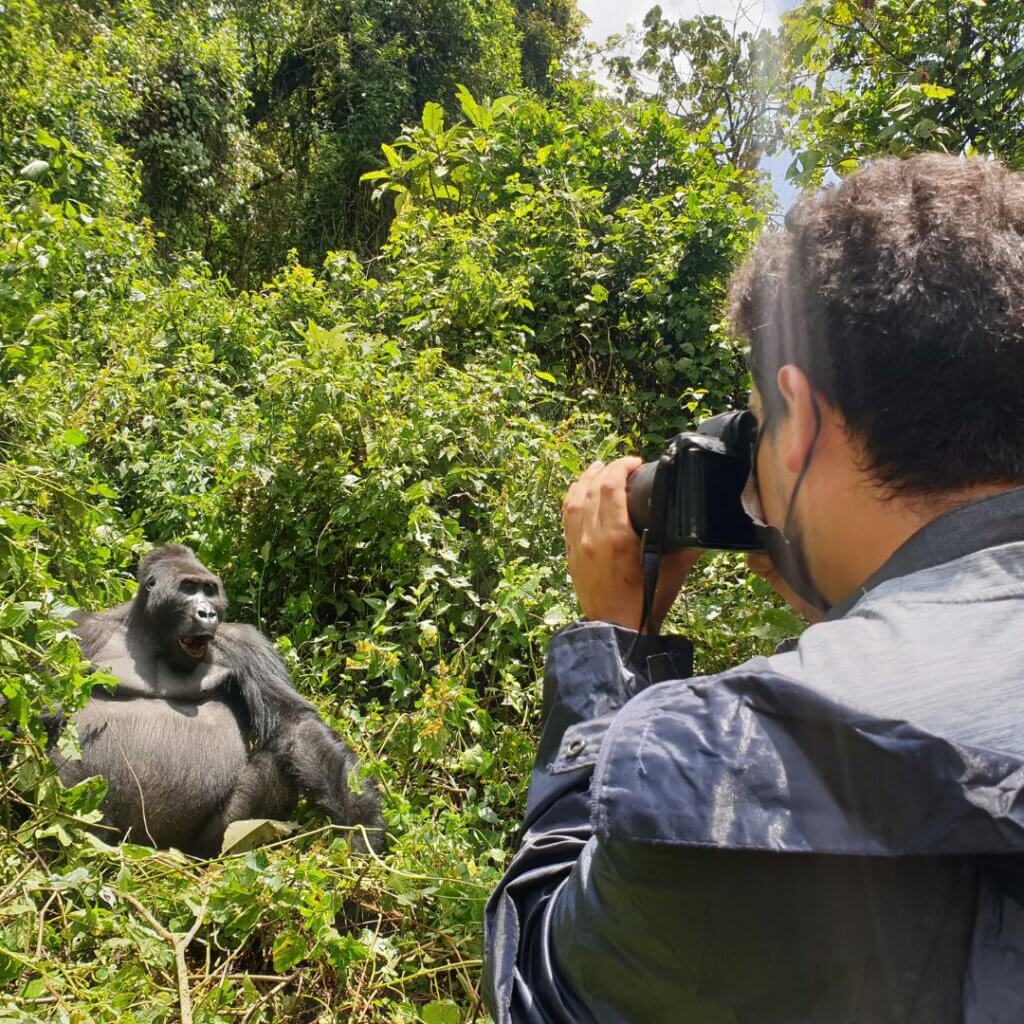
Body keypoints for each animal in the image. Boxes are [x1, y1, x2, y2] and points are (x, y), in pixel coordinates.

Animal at [48, 544, 385, 856]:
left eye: (210, 591)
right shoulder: (80, 630)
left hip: (206, 845)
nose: (207, 613)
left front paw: (362, 828)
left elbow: (296, 725)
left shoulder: (246, 644)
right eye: (188, 588)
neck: (154, 636)